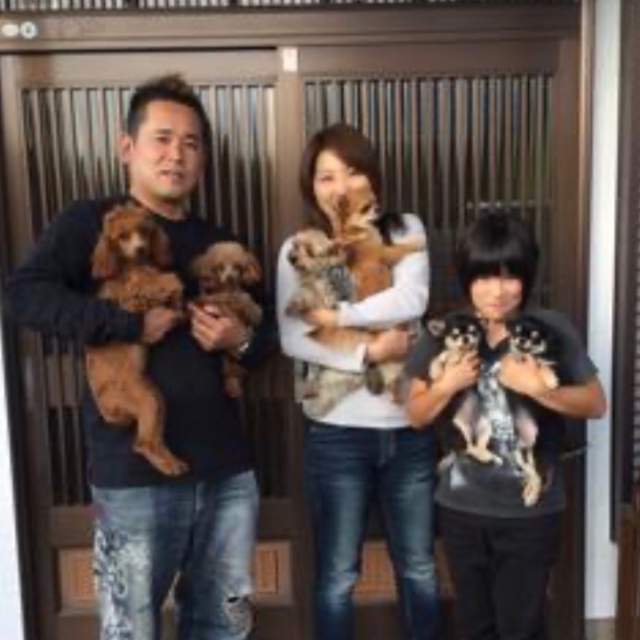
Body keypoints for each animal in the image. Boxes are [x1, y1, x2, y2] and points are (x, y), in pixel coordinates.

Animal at [85, 204, 187, 476]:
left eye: (144, 231)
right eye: (122, 237)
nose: (140, 249)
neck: (133, 265)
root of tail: (108, 412)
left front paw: (178, 306)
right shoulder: (133, 298)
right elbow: (166, 281)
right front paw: (174, 291)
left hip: (154, 397)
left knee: (149, 438)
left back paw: (173, 461)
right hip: (144, 399)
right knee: (143, 443)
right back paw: (169, 466)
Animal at [191, 241, 262, 397]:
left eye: (237, 266)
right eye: (220, 267)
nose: (230, 278)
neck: (227, 288)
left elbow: (243, 295)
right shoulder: (222, 301)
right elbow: (242, 298)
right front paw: (254, 311)